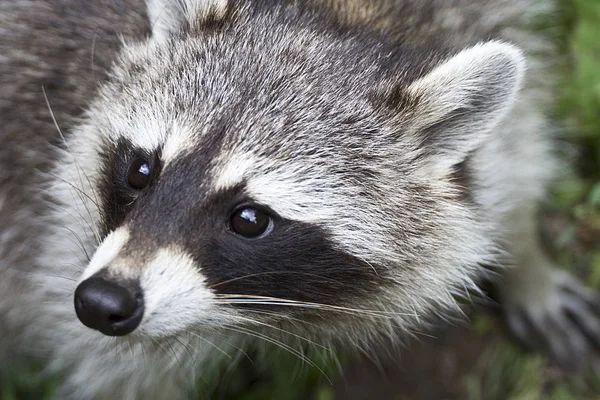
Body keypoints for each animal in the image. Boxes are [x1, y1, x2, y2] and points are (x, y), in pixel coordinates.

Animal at [1, 0, 600, 396]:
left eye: (249, 218)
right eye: (141, 171)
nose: (102, 302)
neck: (349, 19)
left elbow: (514, 150)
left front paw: (525, 256)